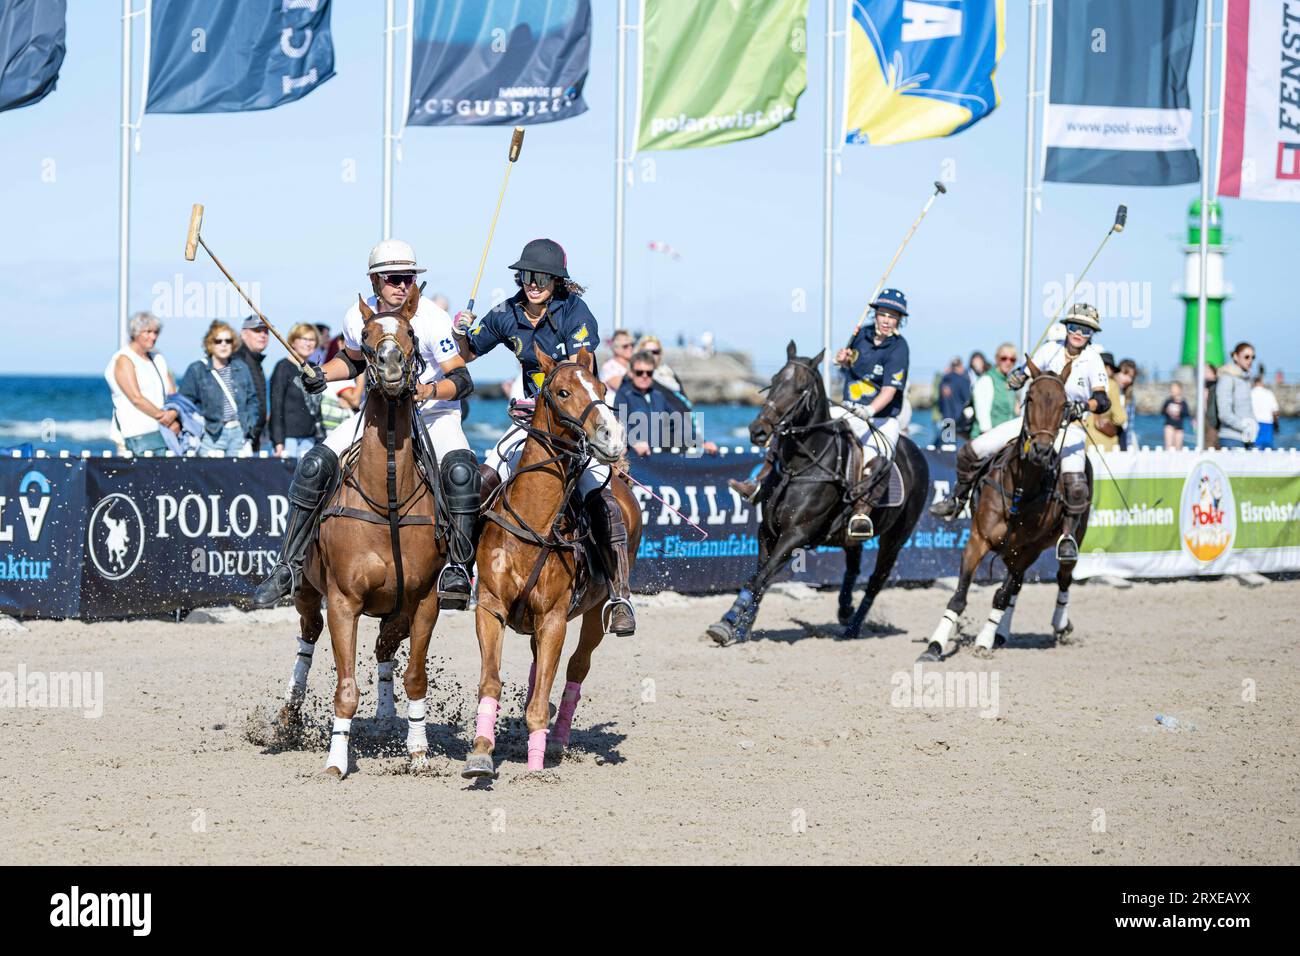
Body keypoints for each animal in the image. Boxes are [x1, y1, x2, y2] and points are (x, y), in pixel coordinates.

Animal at [274, 290, 447, 780]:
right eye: (366, 334)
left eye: (410, 331)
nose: (389, 367)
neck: (387, 495)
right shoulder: (343, 600)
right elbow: (346, 687)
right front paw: (336, 759)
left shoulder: (424, 600)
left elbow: (415, 676)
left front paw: (418, 750)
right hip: (308, 592)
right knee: (307, 639)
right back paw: (287, 715)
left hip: (398, 608)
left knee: (386, 647)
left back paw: (388, 718)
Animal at [460, 343, 642, 780]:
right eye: (562, 392)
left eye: (603, 388)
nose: (613, 437)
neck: (535, 519)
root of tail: (619, 478)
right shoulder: (490, 608)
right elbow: (490, 681)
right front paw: (480, 753)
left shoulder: (555, 619)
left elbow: (543, 700)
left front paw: (536, 763)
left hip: (595, 611)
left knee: (576, 668)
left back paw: (557, 741)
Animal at [707, 340, 930, 647]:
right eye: (775, 380)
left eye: (801, 388)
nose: (758, 431)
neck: (798, 467)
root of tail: (917, 452)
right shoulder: (767, 531)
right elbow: (760, 578)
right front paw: (741, 629)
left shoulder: (796, 534)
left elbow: (758, 579)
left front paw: (728, 621)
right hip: (851, 535)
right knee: (853, 566)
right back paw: (845, 609)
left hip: (896, 538)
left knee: (876, 580)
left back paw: (853, 628)